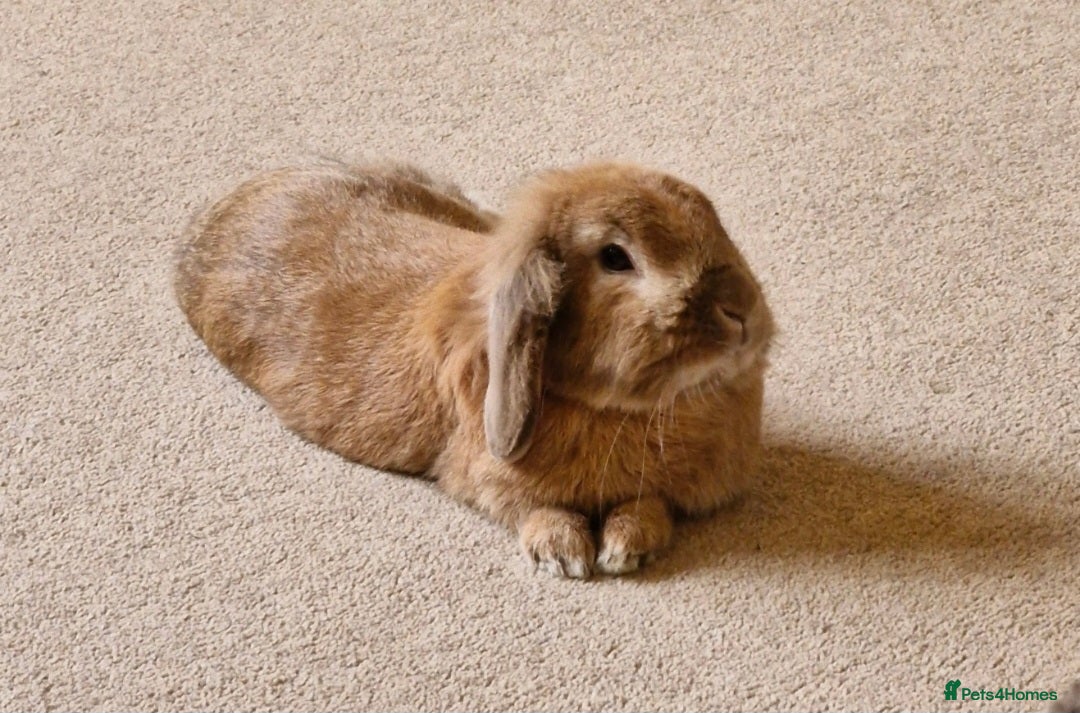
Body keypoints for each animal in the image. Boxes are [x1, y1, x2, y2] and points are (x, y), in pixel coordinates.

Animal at [175, 159, 775, 578]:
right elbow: (535, 508)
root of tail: (217, 210)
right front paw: (565, 556)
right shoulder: (486, 476)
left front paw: (627, 547)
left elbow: (650, 504)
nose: (742, 311)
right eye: (615, 258)